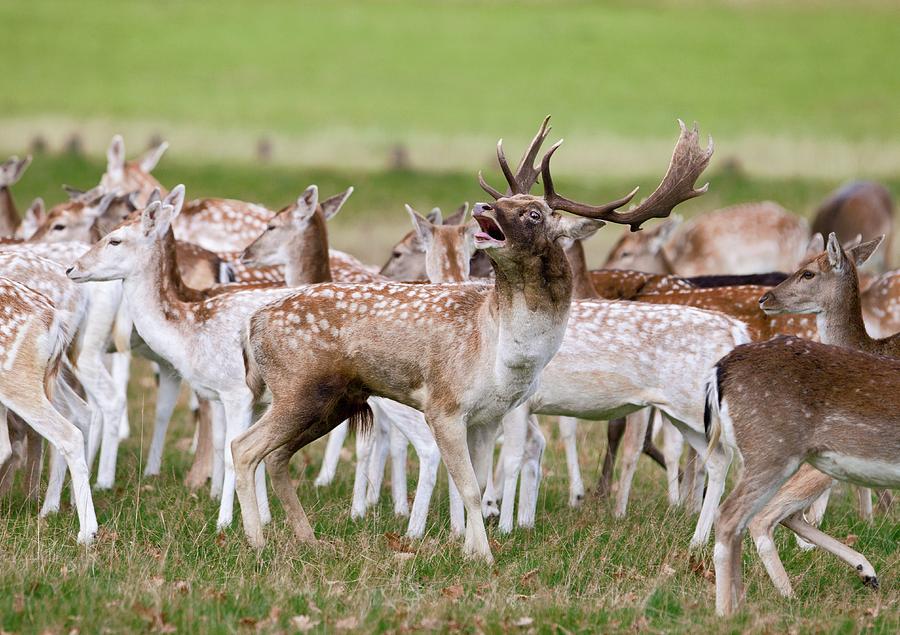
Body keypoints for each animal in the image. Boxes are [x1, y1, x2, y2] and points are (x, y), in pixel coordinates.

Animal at [232, 117, 712, 560]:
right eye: (504, 200)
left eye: (533, 213)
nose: (485, 207)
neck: (496, 354)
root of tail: (253, 323)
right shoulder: (443, 405)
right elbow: (464, 486)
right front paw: (482, 554)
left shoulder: (488, 417)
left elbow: (481, 487)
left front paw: (468, 547)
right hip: (300, 387)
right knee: (243, 447)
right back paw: (256, 542)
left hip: (334, 399)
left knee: (274, 455)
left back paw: (308, 540)